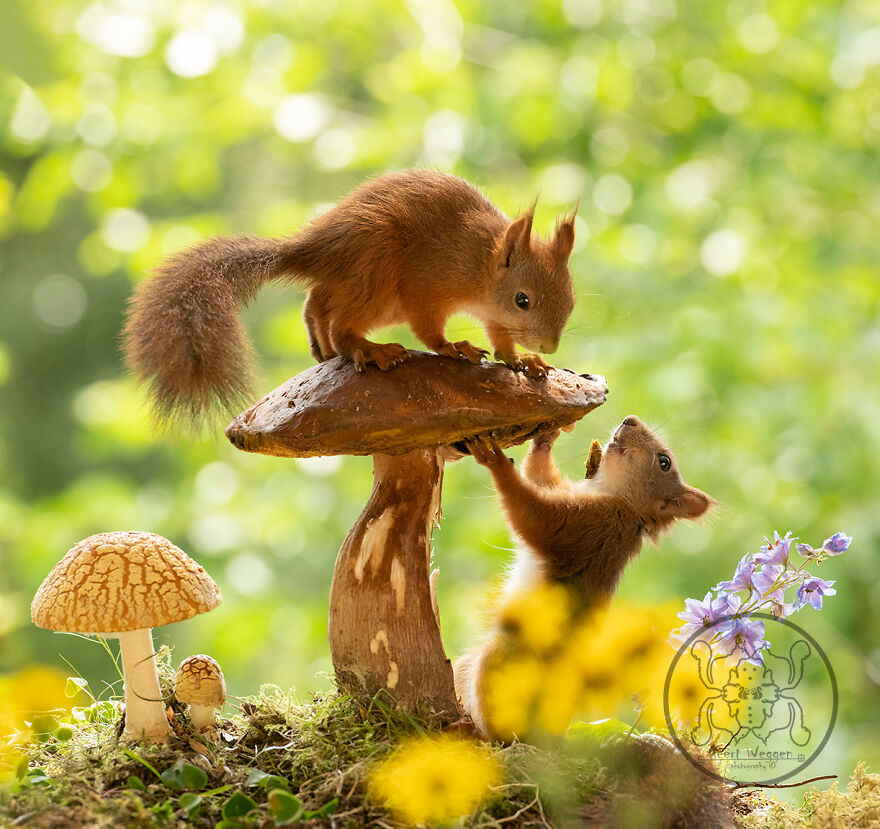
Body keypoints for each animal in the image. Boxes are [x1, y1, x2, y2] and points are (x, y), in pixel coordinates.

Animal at [122, 168, 578, 423]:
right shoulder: (425, 284)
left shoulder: (494, 315)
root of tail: (317, 249)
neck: (479, 262)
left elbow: (502, 342)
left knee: (316, 303)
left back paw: (323, 348)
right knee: (341, 322)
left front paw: (524, 362)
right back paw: (368, 351)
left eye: (571, 302)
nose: (550, 345)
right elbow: (429, 329)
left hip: (361, 287)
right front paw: (454, 348)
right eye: (523, 299)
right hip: (377, 274)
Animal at [453, 415, 713, 740]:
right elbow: (541, 479)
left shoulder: (590, 528)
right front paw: (544, 440)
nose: (630, 419)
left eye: (664, 462)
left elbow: (536, 517)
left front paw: (496, 462)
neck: (624, 504)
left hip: (506, 663)